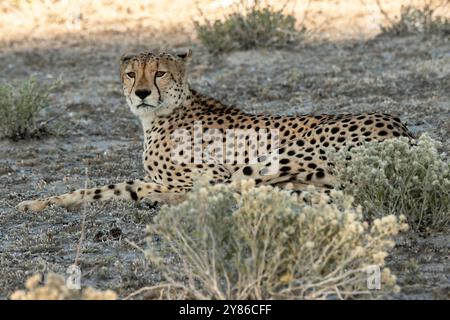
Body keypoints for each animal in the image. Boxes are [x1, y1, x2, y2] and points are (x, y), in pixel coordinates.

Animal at [17, 50, 414, 212]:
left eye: (159, 73)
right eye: (131, 74)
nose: (142, 93)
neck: (163, 114)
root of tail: (403, 129)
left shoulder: (211, 173)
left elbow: (190, 188)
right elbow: (105, 189)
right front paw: (37, 203)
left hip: (274, 157)